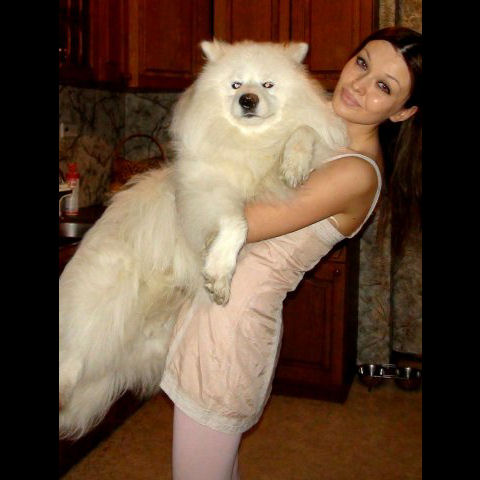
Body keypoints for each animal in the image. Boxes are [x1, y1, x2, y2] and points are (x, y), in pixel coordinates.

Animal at [59, 39, 348, 439]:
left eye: (268, 85)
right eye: (236, 84)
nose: (247, 100)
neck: (249, 143)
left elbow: (306, 130)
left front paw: (294, 163)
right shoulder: (206, 192)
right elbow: (236, 223)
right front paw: (219, 275)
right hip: (103, 300)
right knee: (70, 352)